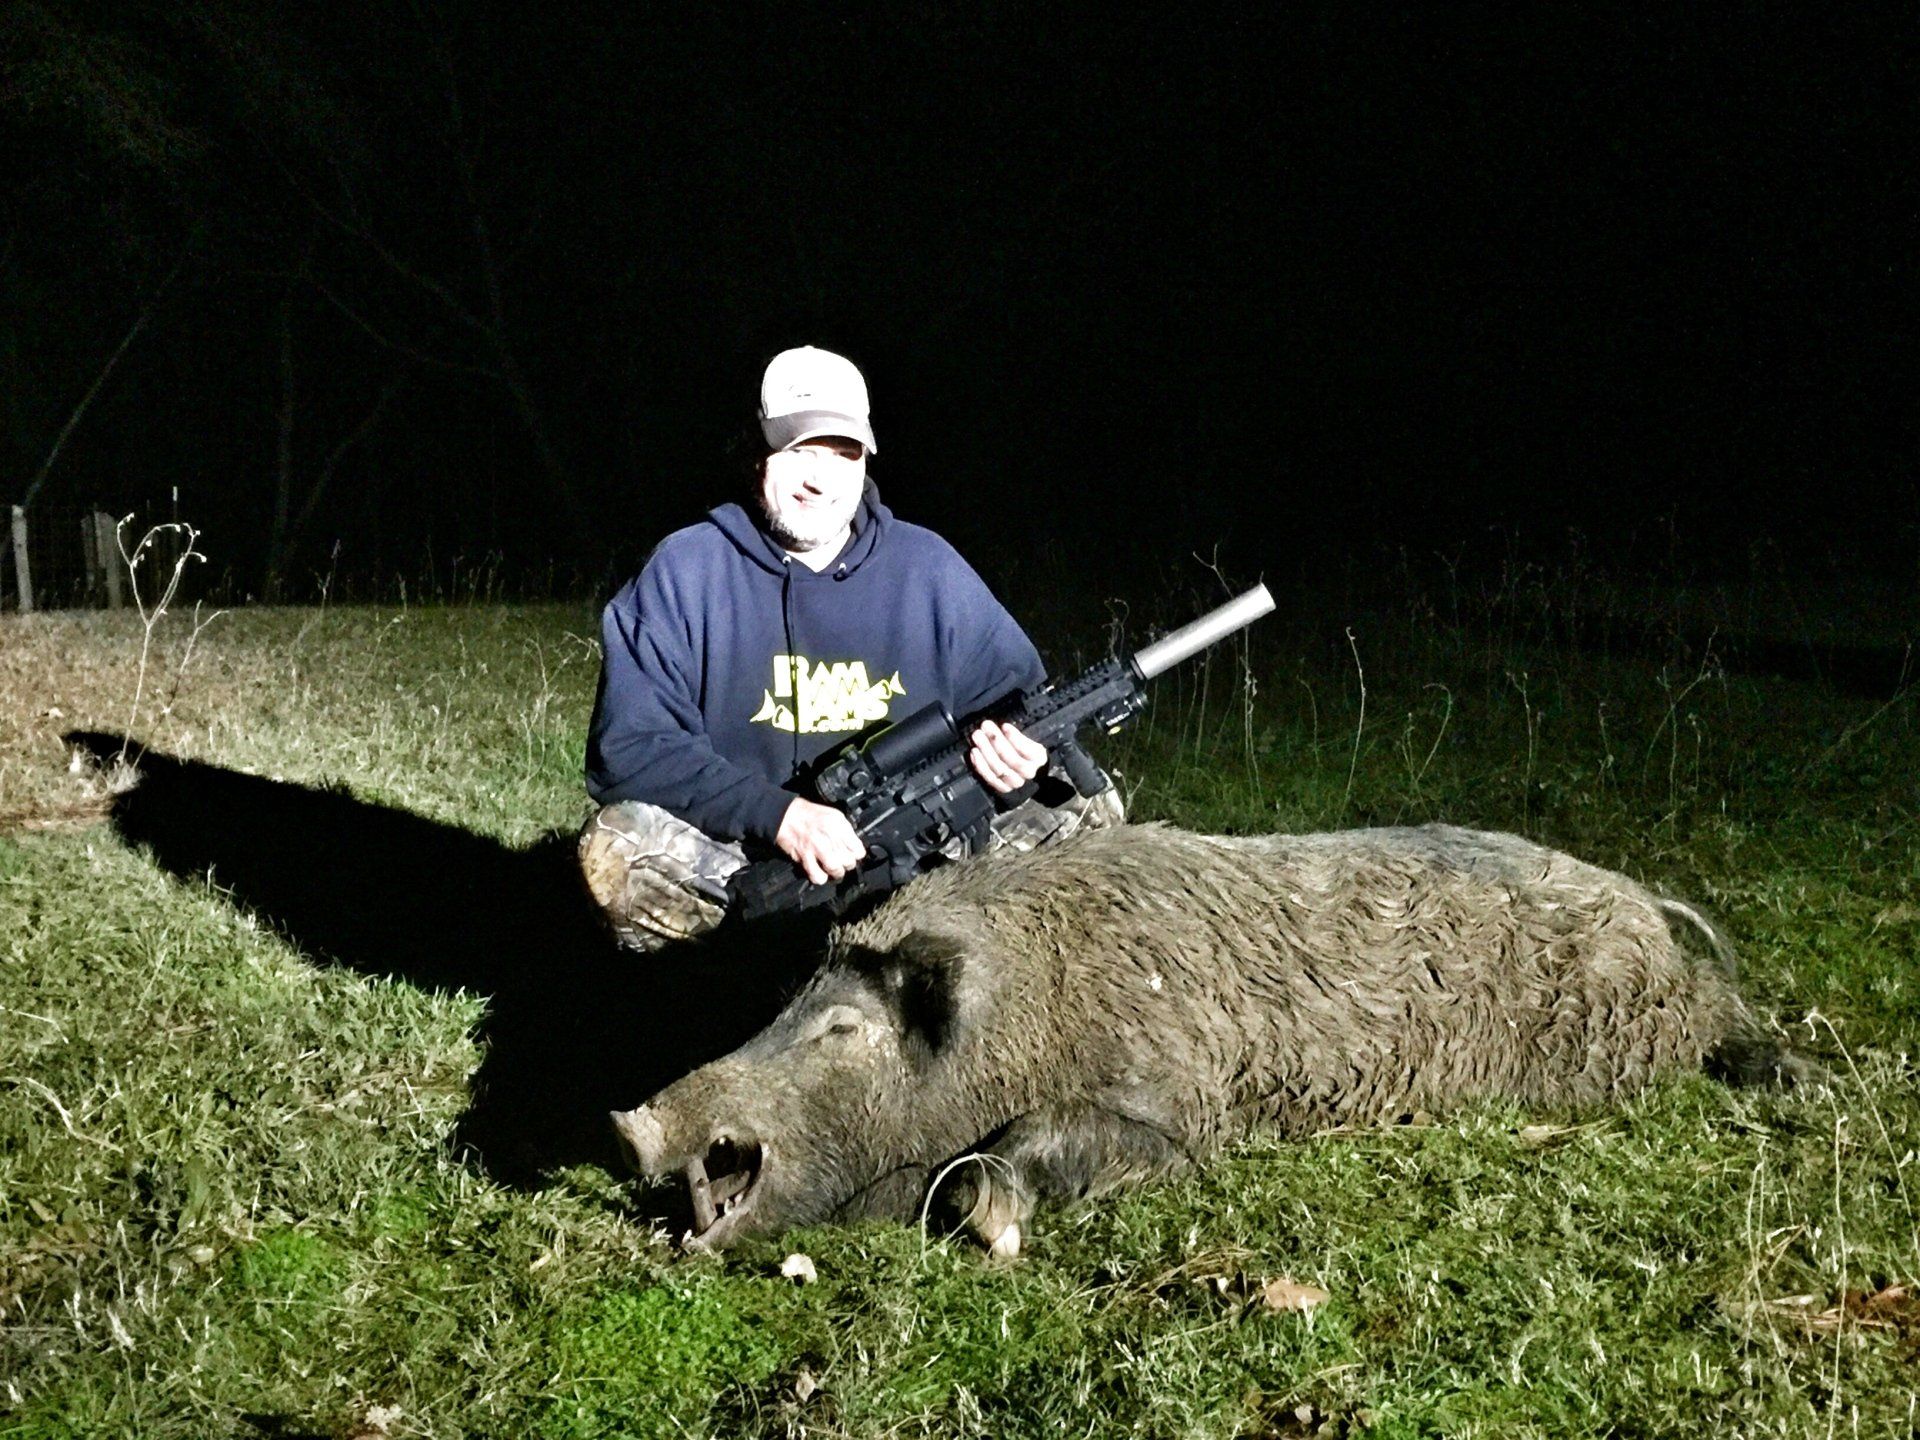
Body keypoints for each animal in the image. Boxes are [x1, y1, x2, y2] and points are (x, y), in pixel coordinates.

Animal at [612, 822, 1779, 1257]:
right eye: (786, 1006)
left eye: (844, 1027)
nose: (633, 1122)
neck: (1029, 1010)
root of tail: (1643, 900)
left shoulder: (1181, 1110)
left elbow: (1040, 1148)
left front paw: (985, 1225)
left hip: (1651, 1028)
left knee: (1736, 1027)